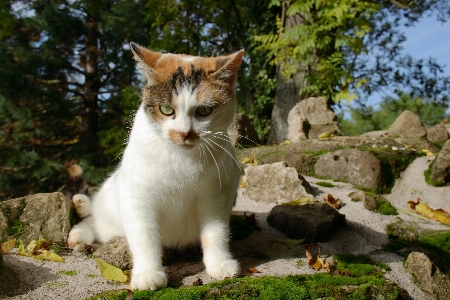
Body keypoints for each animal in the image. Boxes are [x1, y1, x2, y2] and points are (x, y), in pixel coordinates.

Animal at [65, 42, 244, 290]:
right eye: (166, 110)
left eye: (204, 111)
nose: (184, 133)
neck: (182, 159)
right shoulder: (137, 195)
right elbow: (144, 236)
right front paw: (148, 273)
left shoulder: (216, 193)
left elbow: (215, 232)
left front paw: (220, 263)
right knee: (95, 219)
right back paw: (79, 233)